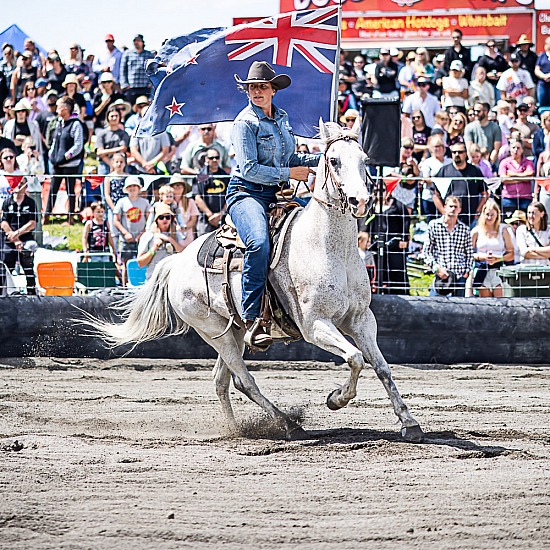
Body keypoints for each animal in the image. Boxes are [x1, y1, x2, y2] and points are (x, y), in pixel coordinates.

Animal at [92, 119, 424, 444]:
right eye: (334, 160)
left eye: (365, 160)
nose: (361, 200)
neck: (326, 247)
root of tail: (175, 263)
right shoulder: (315, 325)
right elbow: (355, 358)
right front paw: (335, 399)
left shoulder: (361, 319)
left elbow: (381, 367)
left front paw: (410, 423)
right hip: (213, 332)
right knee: (244, 380)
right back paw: (288, 424)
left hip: (235, 330)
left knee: (222, 381)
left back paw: (235, 429)